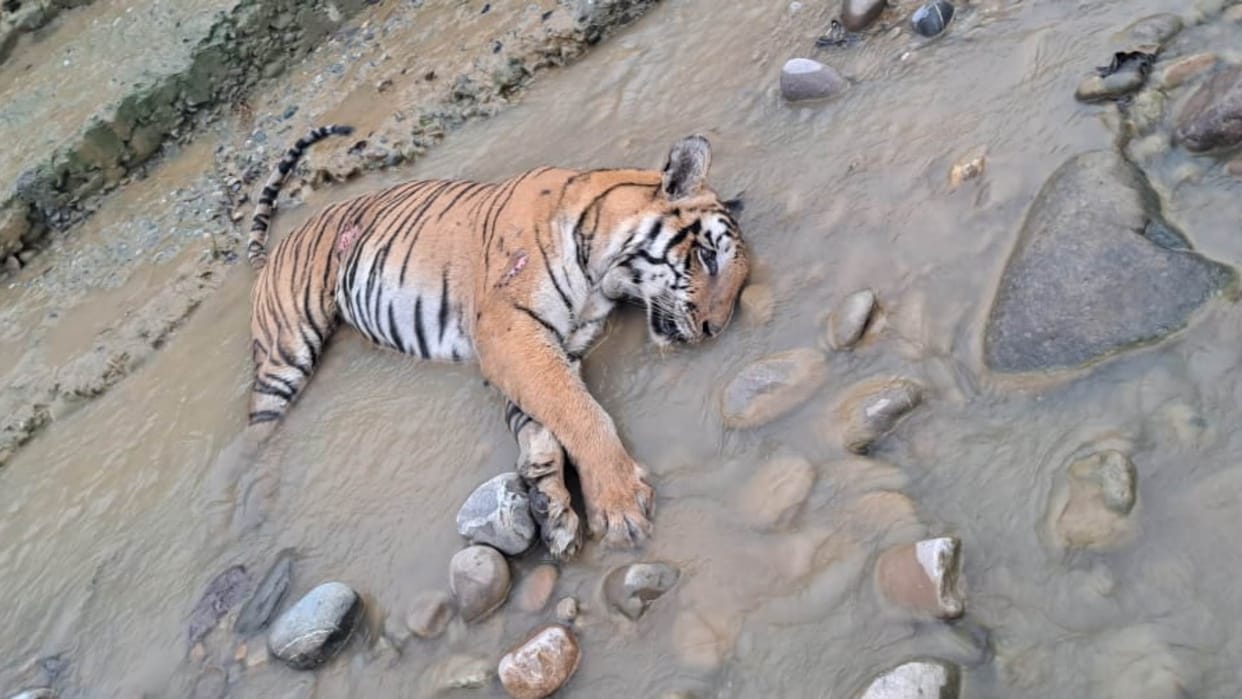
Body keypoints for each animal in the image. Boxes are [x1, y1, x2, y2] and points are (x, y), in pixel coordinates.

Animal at [245, 125, 750, 558]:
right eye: (708, 256)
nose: (714, 329)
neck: (603, 275)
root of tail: (277, 248)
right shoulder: (509, 331)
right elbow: (582, 414)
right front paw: (619, 503)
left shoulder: (556, 345)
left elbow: (543, 427)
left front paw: (551, 508)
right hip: (286, 350)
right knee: (259, 429)